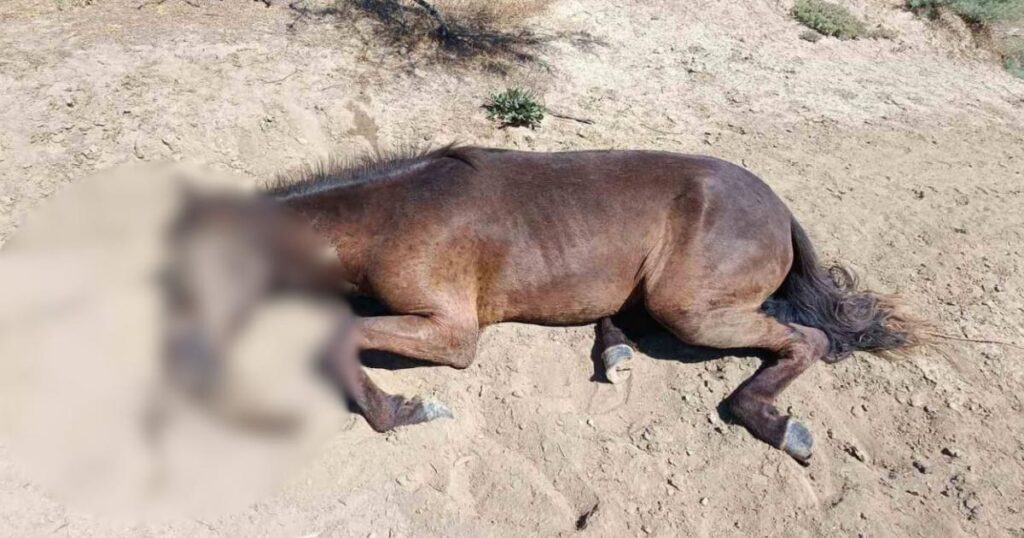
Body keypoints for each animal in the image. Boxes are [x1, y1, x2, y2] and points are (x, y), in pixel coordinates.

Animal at [164, 145, 923, 464]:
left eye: (188, 280)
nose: (187, 375)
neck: (387, 216)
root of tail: (781, 209)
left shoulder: (454, 334)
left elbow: (335, 340)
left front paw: (404, 412)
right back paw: (614, 351)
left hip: (689, 309)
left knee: (807, 343)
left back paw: (774, 424)